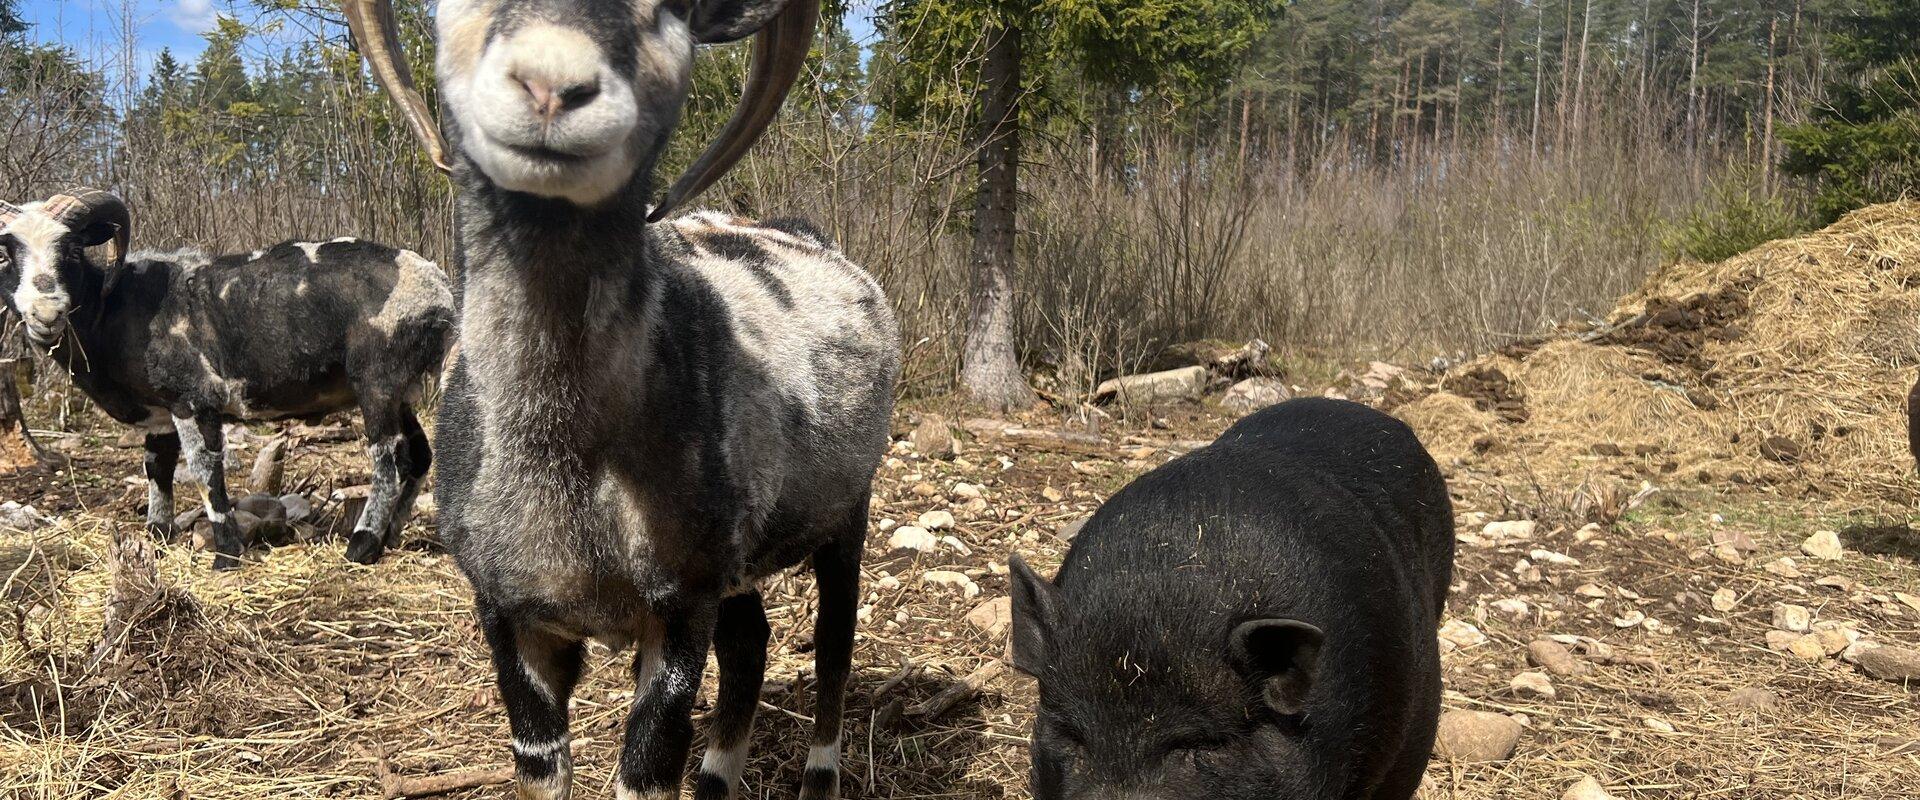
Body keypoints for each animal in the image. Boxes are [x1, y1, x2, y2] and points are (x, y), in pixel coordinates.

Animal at [0, 189, 453, 571]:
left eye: (73, 249)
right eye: (5, 256)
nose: (46, 314)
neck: (114, 306)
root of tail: (440, 292)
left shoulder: (193, 397)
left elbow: (205, 470)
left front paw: (226, 552)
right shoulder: (161, 411)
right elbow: (157, 468)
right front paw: (157, 535)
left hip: (378, 379)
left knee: (390, 459)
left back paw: (362, 545)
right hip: (404, 389)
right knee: (419, 455)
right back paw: (390, 536)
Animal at [349, 0, 902, 790]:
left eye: (671, 12)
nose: (551, 87)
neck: (565, 457)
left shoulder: (679, 606)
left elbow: (648, 760)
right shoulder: (506, 611)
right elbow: (539, 758)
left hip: (844, 510)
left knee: (833, 644)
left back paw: (820, 773)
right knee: (751, 641)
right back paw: (717, 780)